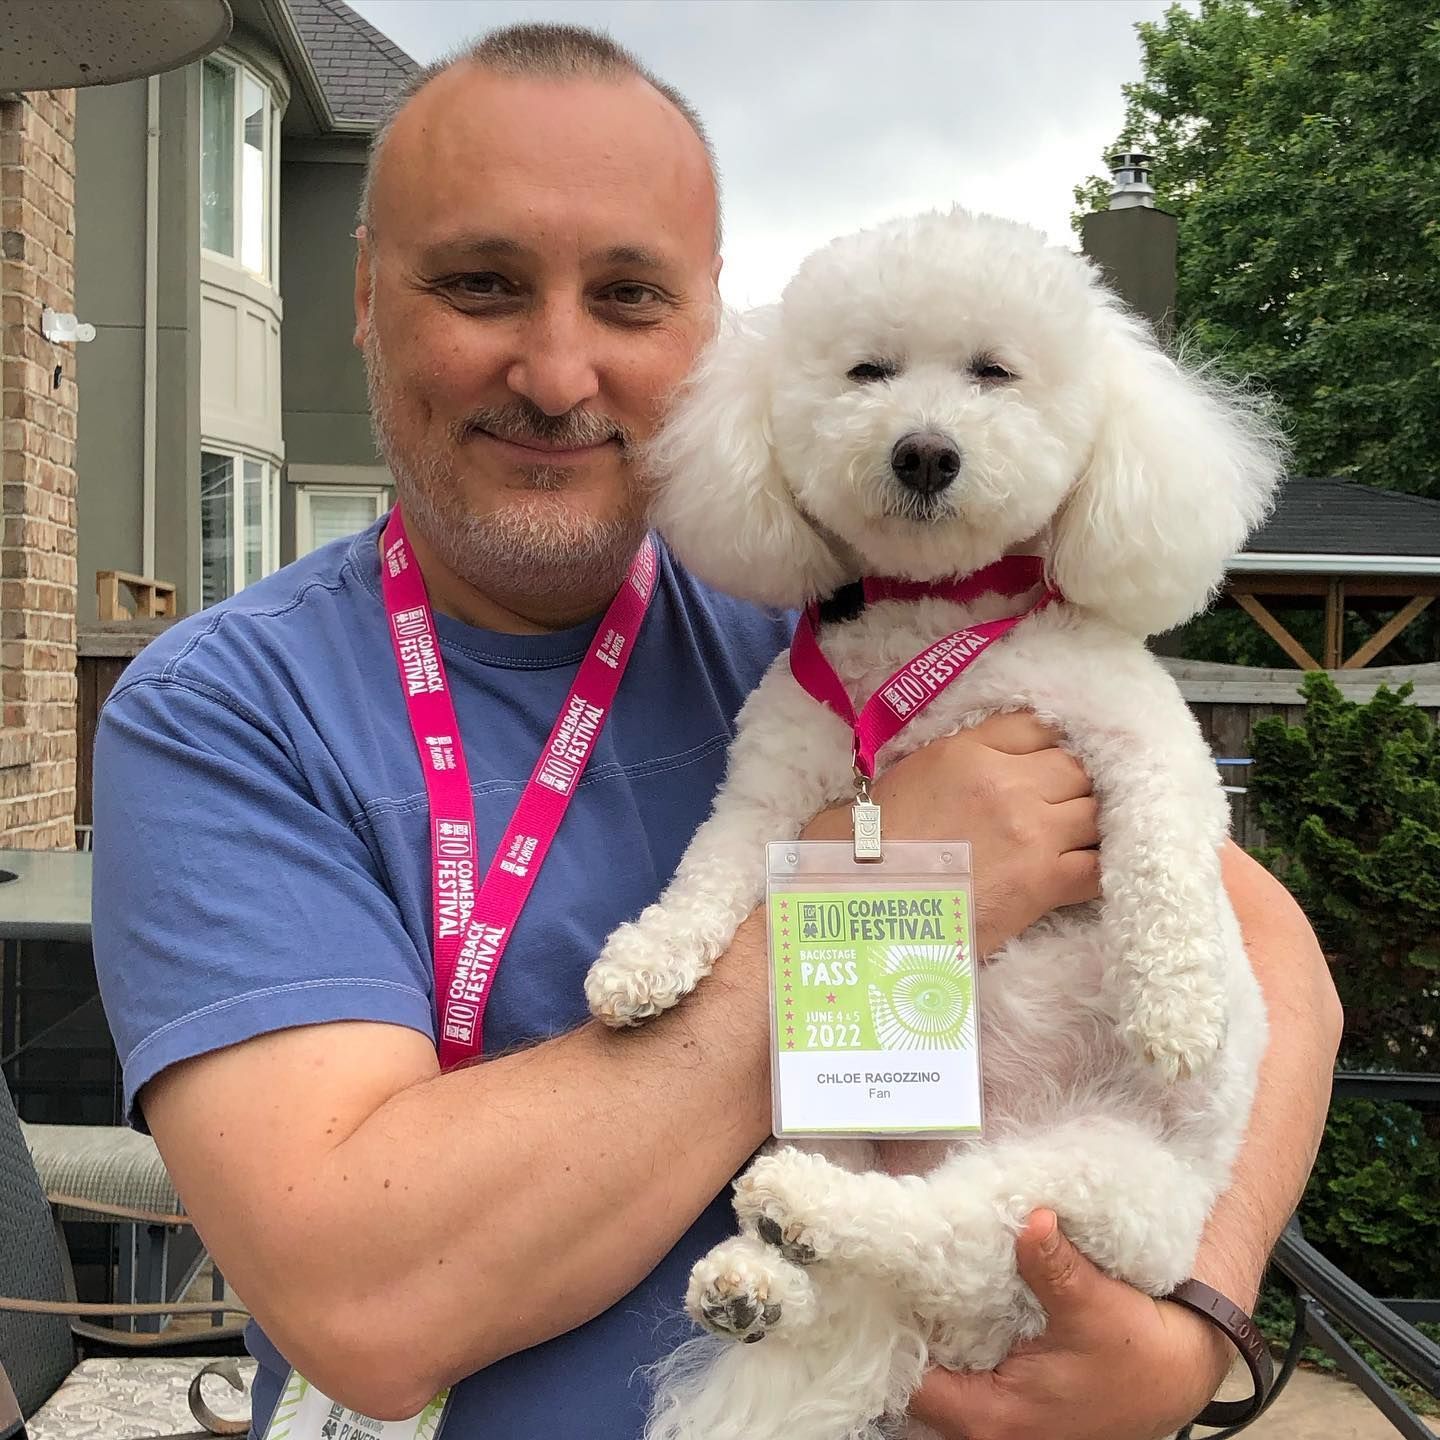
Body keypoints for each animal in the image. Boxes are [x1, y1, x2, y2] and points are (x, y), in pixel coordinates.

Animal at [584, 208, 1284, 1440]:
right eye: (867, 371)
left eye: (993, 372)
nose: (922, 452)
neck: (932, 618)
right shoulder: (771, 792)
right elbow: (704, 875)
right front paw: (643, 964)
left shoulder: (1144, 737)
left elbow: (1161, 856)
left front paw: (1176, 1007)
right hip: (827, 1099)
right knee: (889, 1265)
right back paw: (758, 1277)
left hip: (1102, 1193)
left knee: (953, 1235)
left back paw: (797, 1221)